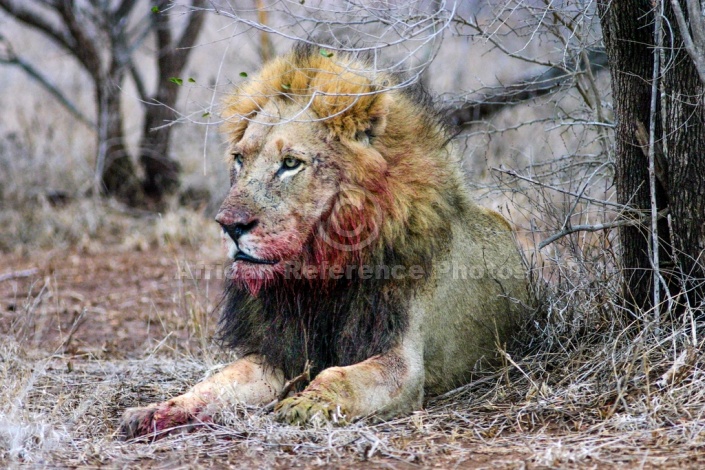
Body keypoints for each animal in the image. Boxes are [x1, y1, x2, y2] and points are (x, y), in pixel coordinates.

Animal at [121, 42, 528, 438]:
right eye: (239, 159)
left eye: (290, 163)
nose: (229, 225)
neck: (318, 275)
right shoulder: (280, 354)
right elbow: (219, 381)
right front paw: (156, 411)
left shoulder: (405, 361)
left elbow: (339, 375)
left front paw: (304, 405)